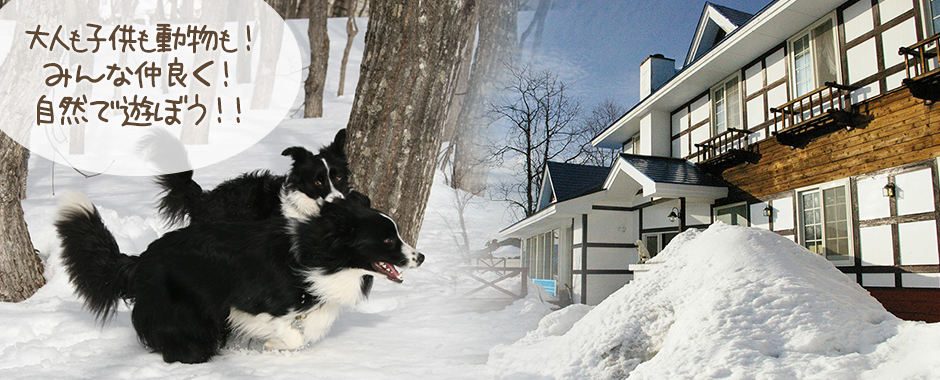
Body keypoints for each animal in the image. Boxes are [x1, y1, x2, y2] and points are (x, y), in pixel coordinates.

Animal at [57, 191, 424, 364]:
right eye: (387, 240)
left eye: (396, 234)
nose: (420, 257)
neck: (319, 255)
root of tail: (141, 261)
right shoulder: (249, 303)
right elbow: (292, 335)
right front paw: (273, 345)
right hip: (183, 310)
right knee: (187, 343)